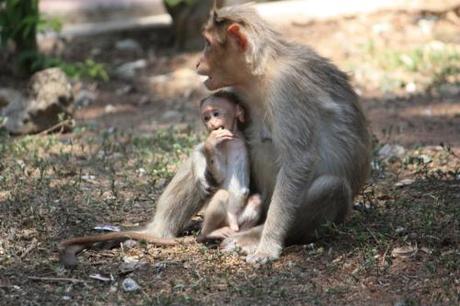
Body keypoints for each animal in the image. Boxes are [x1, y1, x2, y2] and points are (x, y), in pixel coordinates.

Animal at [198, 91, 262, 241]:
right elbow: (220, 176)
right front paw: (209, 144)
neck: (233, 137)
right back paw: (209, 233)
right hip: (224, 219)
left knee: (257, 200)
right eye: (206, 118)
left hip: (238, 218)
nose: (211, 124)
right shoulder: (221, 145)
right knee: (222, 195)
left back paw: (241, 233)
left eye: (216, 114)